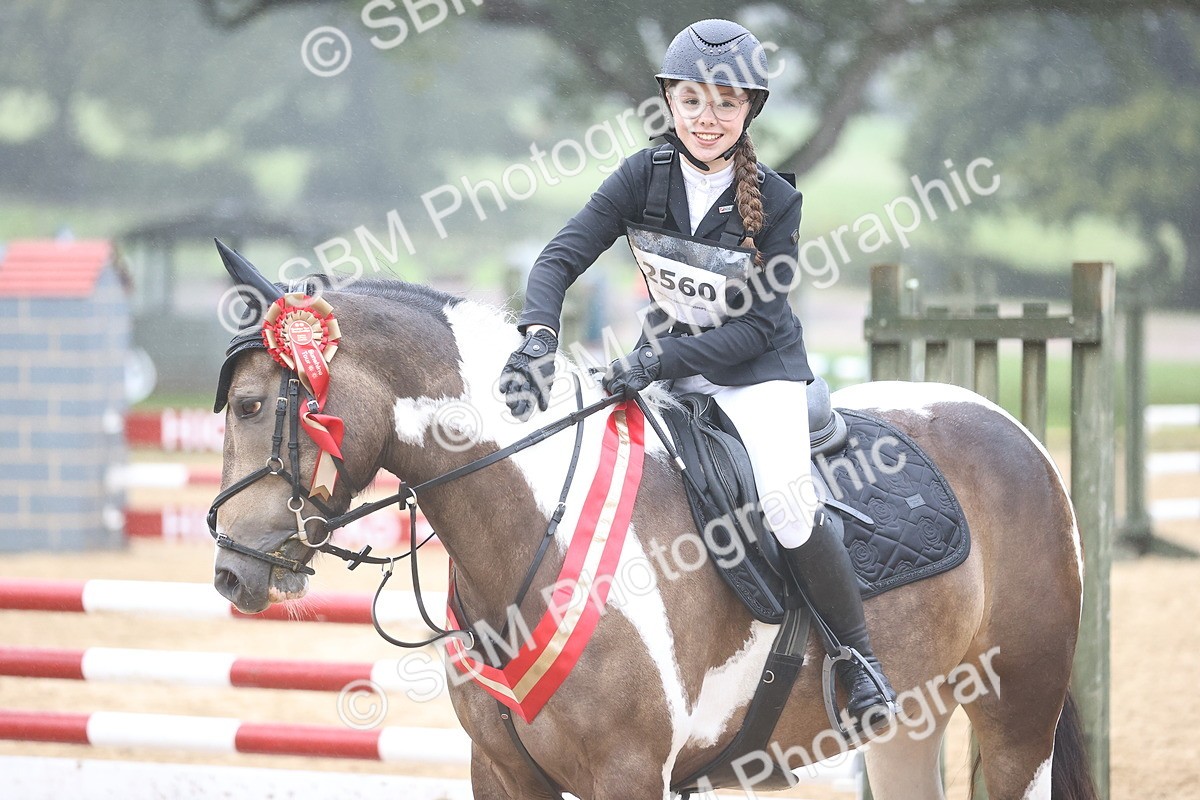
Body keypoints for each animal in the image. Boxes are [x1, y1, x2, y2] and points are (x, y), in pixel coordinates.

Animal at [209, 252, 1096, 800]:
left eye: (252, 405)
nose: (230, 570)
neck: (538, 530)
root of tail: (1012, 431)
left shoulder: (629, 772)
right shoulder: (503, 773)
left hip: (1018, 715)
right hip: (911, 725)